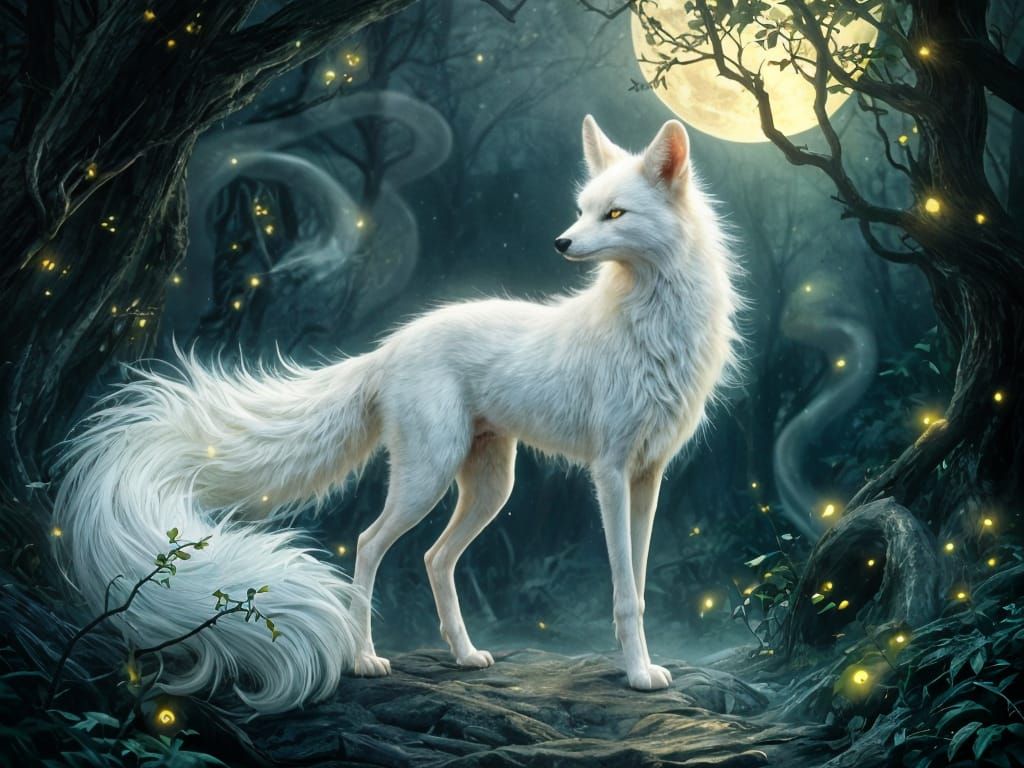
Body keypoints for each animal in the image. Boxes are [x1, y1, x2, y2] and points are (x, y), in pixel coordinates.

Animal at [55, 115, 741, 714]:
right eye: (582, 208)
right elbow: (625, 592)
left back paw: (464, 655)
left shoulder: (647, 476)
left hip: (490, 485)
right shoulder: (609, 473)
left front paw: (641, 666)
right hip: (428, 478)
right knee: (367, 543)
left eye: (615, 213)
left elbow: (639, 584)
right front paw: (637, 675)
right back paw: (362, 659)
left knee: (435, 558)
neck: (650, 323)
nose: (561, 241)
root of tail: (389, 348)